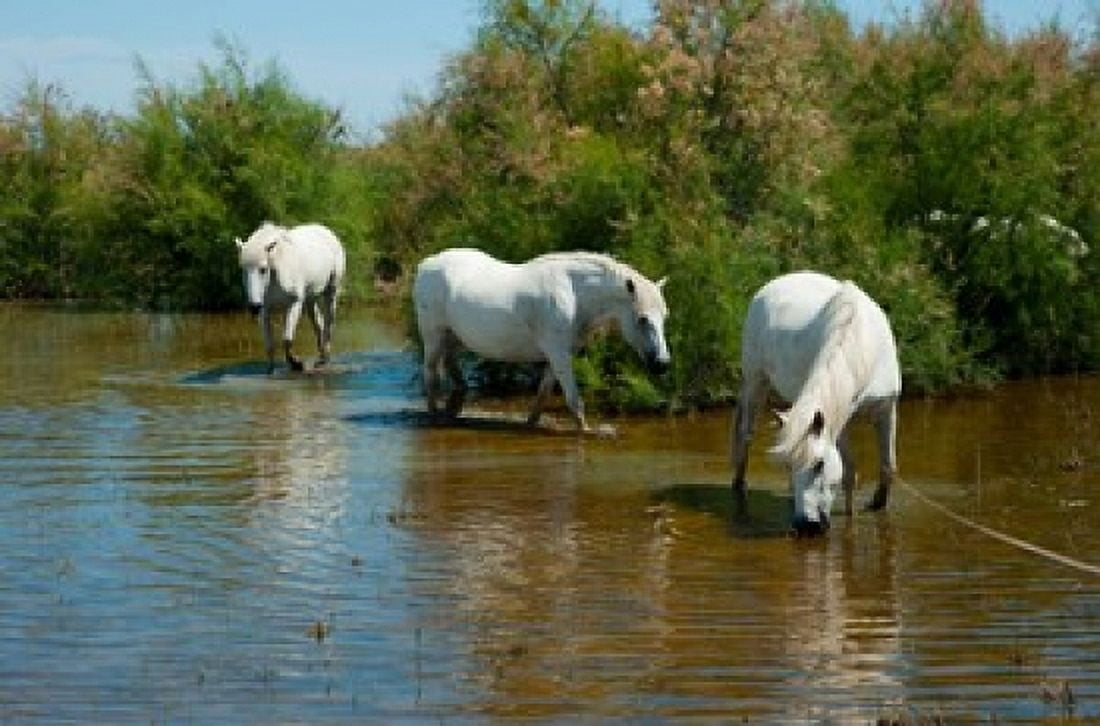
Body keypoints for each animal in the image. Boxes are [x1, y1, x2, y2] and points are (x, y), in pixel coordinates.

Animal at [235, 222, 346, 373]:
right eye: (243, 269)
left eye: (263, 269)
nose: (254, 307)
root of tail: (327, 232)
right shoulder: (265, 309)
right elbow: (269, 344)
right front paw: (271, 370)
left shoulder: (294, 303)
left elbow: (287, 339)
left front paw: (296, 364)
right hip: (311, 298)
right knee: (319, 324)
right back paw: (321, 357)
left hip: (331, 291)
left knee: (329, 323)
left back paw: (325, 359)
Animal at [412, 248, 671, 432]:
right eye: (642, 319)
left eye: (664, 317)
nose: (662, 364)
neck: (573, 294)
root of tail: (426, 264)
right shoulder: (558, 353)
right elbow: (574, 400)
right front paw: (586, 431)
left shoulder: (559, 354)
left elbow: (544, 391)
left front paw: (531, 423)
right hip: (433, 336)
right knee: (431, 374)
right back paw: (434, 416)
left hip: (454, 338)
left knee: (452, 371)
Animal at [731, 271, 901, 535]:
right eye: (788, 466)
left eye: (820, 464)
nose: (805, 525)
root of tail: (776, 282)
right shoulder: (839, 421)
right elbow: (849, 472)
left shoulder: (886, 408)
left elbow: (887, 466)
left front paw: (875, 507)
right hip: (755, 381)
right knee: (745, 434)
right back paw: (740, 486)